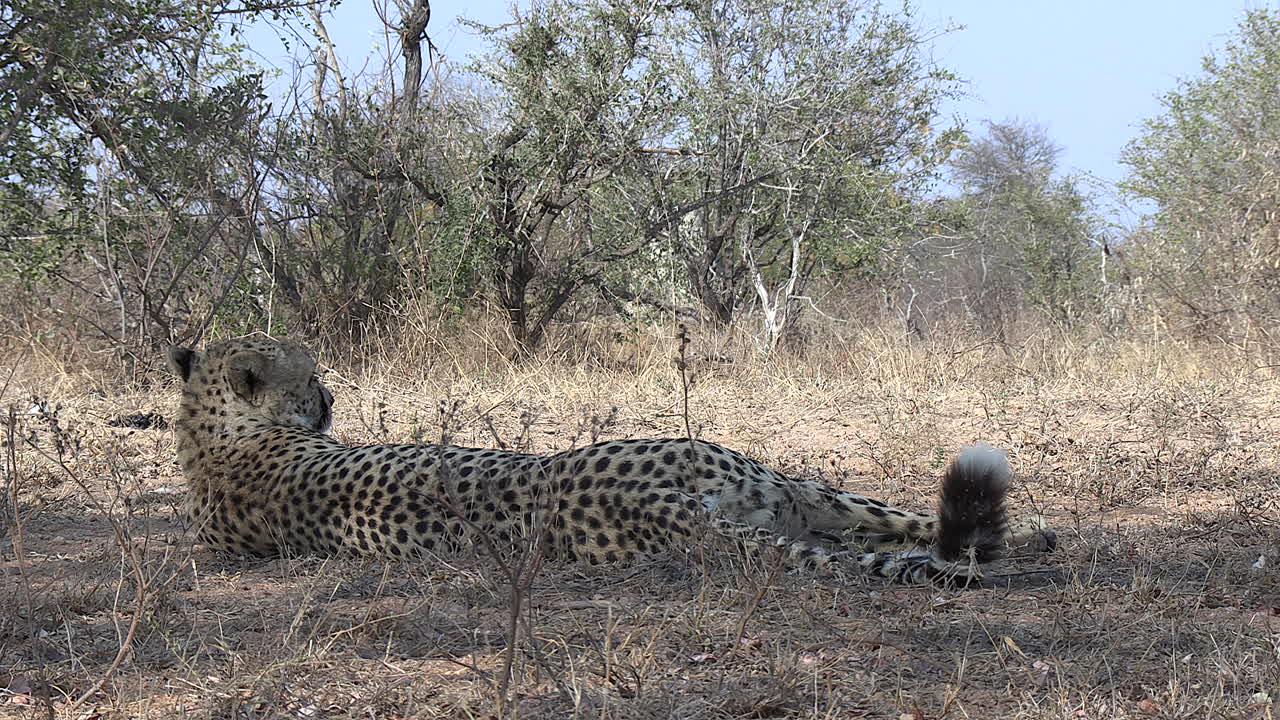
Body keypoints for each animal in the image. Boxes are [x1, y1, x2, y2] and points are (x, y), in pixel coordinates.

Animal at [166, 336, 1055, 585]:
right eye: (310, 375)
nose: (329, 396)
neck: (211, 437)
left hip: (784, 493)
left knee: (900, 526)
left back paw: (1040, 536)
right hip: (776, 491)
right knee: (886, 534)